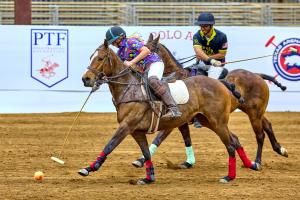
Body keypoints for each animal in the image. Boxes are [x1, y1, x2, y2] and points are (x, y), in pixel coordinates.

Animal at [79, 38, 260, 184]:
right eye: (90, 57)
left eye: (100, 58)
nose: (85, 79)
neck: (129, 89)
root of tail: (221, 83)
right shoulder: (137, 131)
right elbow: (146, 153)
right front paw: (148, 177)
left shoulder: (127, 126)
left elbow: (110, 144)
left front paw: (89, 168)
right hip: (207, 120)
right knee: (234, 139)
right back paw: (250, 164)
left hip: (219, 121)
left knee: (230, 145)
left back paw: (229, 176)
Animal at [132, 34, 288, 169]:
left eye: (146, 53)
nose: (133, 68)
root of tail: (257, 75)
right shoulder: (182, 121)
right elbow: (186, 138)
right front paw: (188, 162)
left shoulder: (175, 119)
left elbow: (159, 138)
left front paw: (140, 160)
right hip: (254, 110)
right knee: (267, 125)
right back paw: (280, 149)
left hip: (254, 112)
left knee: (260, 135)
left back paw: (257, 161)